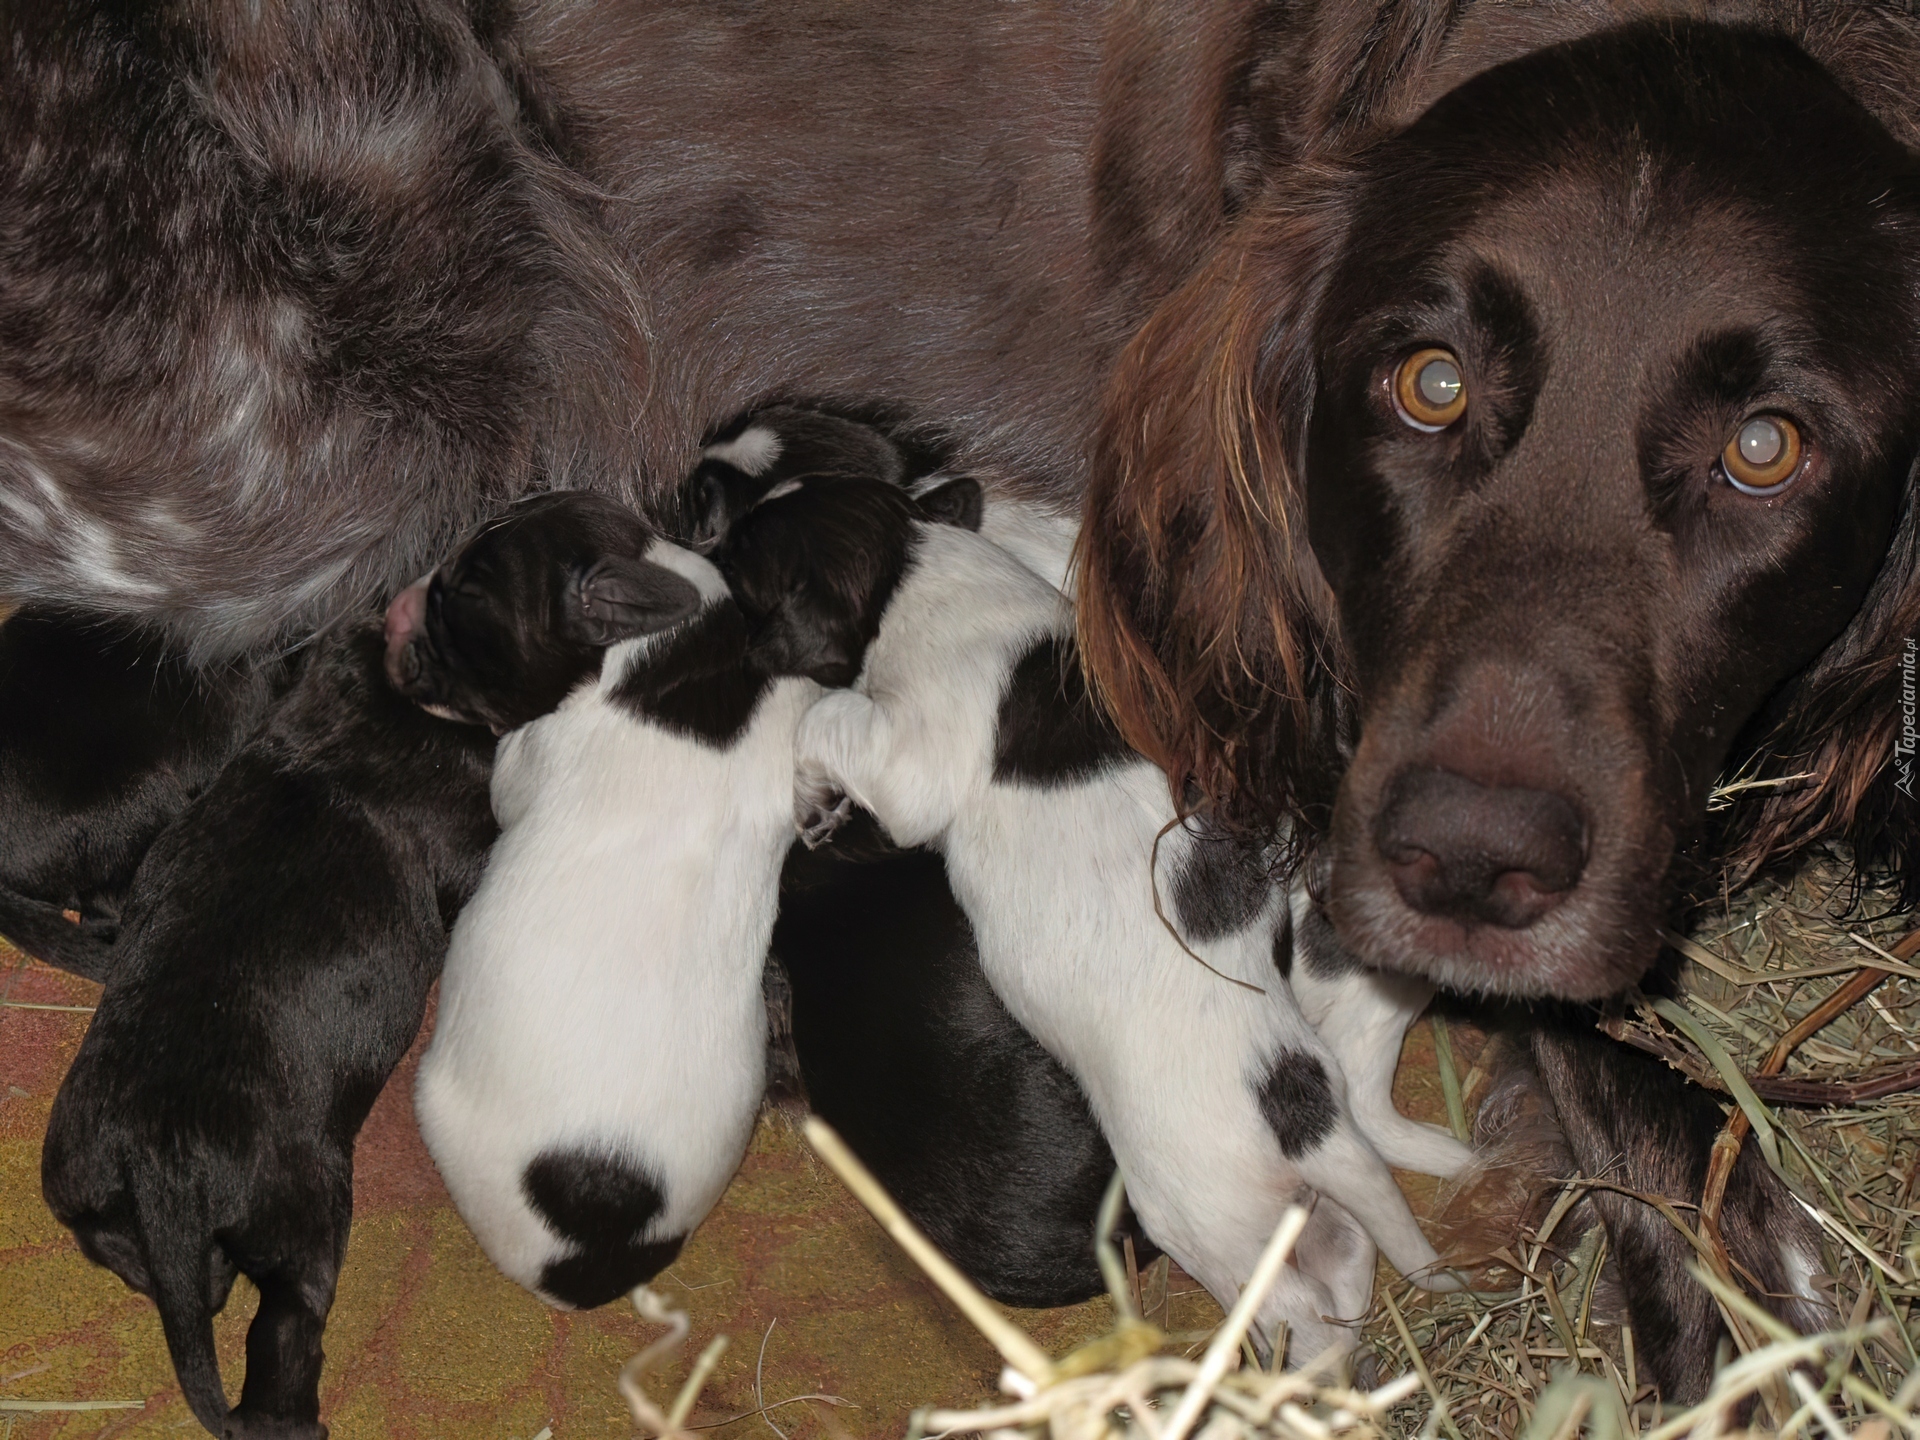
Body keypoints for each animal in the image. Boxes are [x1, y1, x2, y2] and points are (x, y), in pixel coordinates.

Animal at [43, 622, 503, 1440]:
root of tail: (161, 1163)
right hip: (305, 1208)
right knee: (286, 1324)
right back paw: (293, 1419)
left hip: (84, 1182)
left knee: (154, 1265)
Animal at [787, 491, 1459, 1367]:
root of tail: (1301, 1123)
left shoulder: (909, 765)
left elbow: (829, 721)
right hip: (1319, 1201)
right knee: (1344, 1269)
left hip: (1205, 1223)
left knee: (1292, 1312)